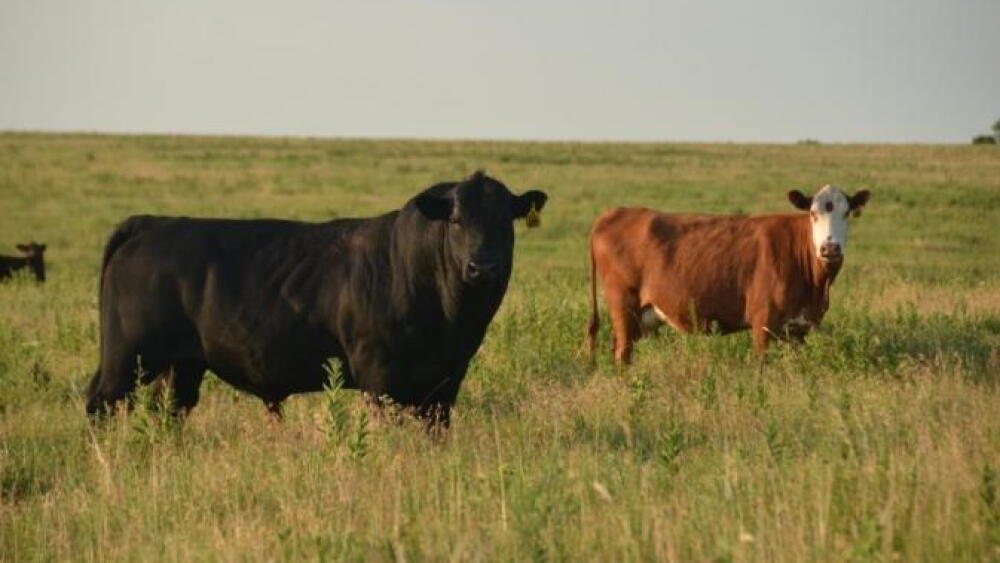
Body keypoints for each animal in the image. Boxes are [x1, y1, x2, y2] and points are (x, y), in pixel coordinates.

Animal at [85, 171, 548, 428]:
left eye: (505, 222)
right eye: (455, 220)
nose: (482, 267)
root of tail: (150, 223)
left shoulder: (445, 382)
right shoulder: (379, 375)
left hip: (181, 365)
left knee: (169, 412)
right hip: (127, 358)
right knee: (100, 404)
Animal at [585, 185, 870, 362]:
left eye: (847, 213)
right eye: (812, 214)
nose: (830, 248)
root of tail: (614, 212)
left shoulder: (800, 328)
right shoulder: (762, 323)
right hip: (623, 305)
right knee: (623, 353)